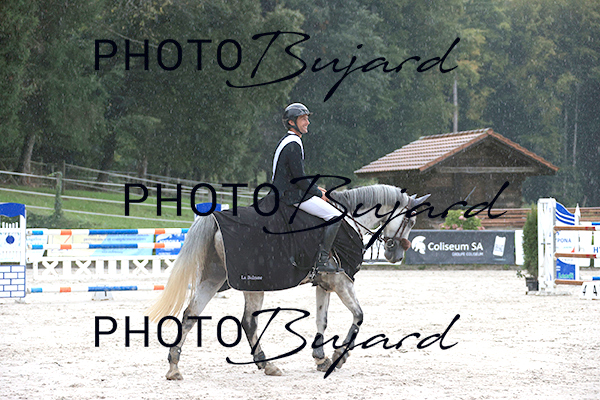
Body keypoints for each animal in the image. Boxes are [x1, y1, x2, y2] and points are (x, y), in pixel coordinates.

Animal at [146, 184, 429, 379]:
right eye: (411, 219)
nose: (396, 255)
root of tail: (217, 220)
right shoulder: (342, 283)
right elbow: (358, 316)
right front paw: (339, 356)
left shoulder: (325, 285)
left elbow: (321, 320)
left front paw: (320, 358)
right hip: (253, 283)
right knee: (248, 322)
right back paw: (267, 363)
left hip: (213, 278)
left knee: (191, 314)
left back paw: (174, 366)